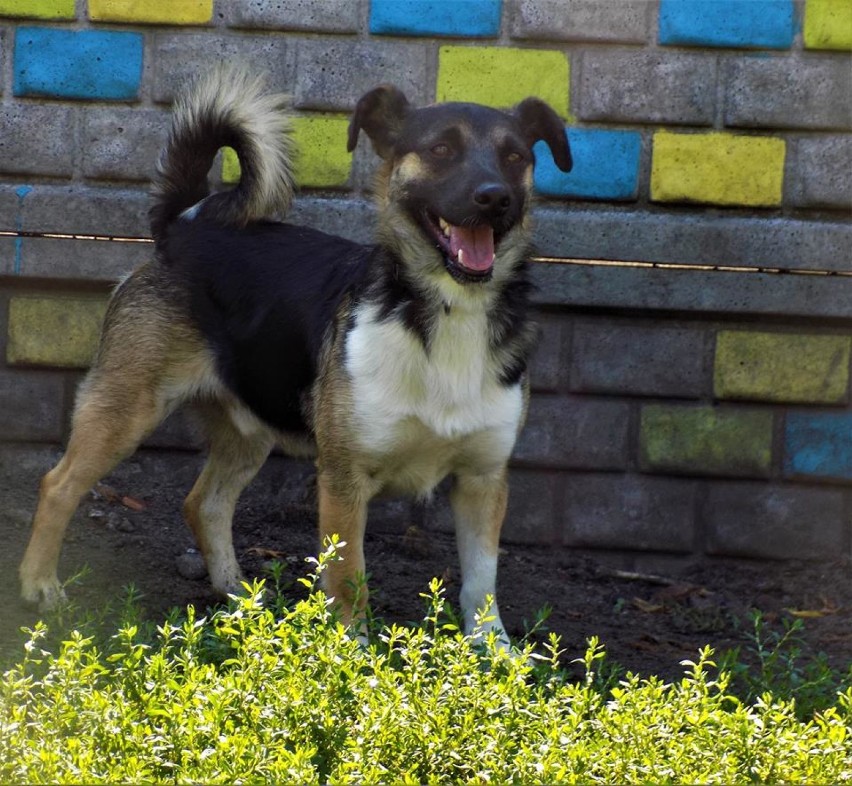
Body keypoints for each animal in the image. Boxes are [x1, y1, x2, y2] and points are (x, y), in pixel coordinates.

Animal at [18, 66, 572, 644]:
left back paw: (238, 597)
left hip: (248, 429)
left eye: (516, 157)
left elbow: (482, 585)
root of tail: (186, 224)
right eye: (441, 149)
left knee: (204, 504)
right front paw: (351, 655)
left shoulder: (483, 481)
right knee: (58, 485)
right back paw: (39, 586)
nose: (495, 198)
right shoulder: (344, 480)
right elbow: (349, 581)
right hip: (126, 407)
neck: (444, 310)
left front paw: (494, 655)